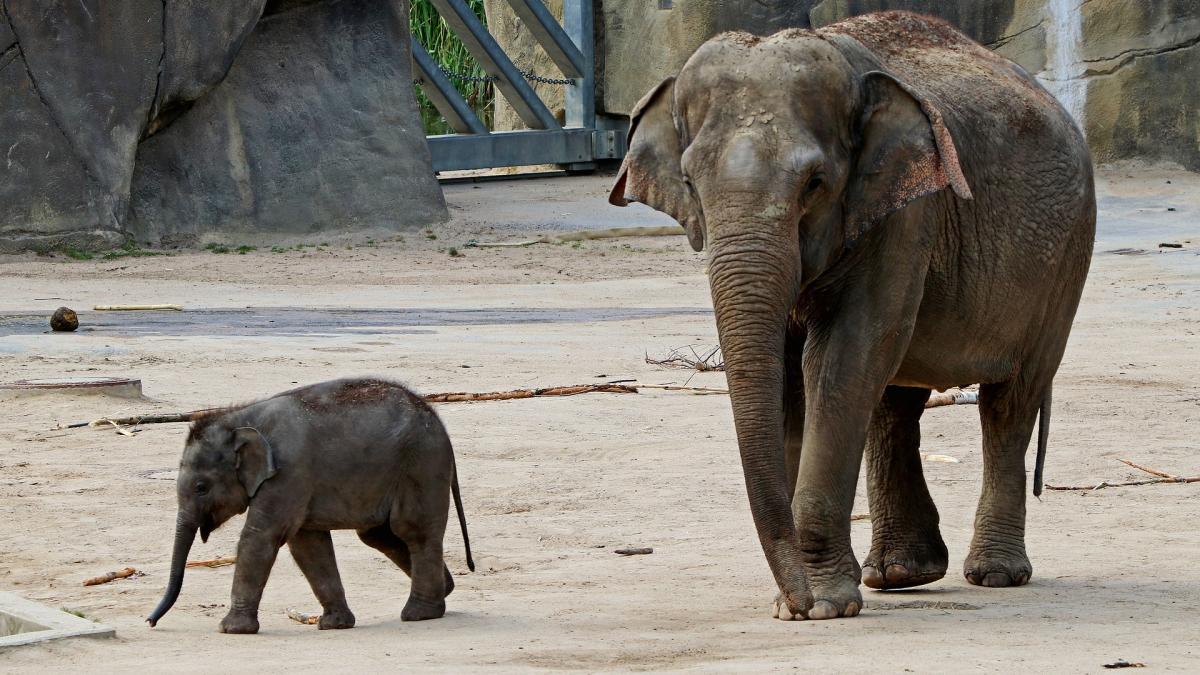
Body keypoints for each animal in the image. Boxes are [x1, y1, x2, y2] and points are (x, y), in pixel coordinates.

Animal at [146, 378, 475, 633]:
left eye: (201, 487)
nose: (150, 622)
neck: (240, 419)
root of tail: (436, 418)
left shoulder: (289, 473)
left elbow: (261, 537)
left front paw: (230, 629)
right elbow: (307, 544)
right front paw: (334, 624)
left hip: (422, 466)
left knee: (413, 531)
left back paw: (419, 614)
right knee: (378, 535)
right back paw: (445, 590)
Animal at [609, 11, 1095, 620]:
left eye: (815, 184)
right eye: (691, 184)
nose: (795, 604)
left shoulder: (907, 211)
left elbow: (843, 354)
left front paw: (824, 605)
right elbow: (792, 370)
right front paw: (803, 600)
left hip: (1065, 261)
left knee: (1008, 401)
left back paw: (995, 575)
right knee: (894, 398)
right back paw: (900, 575)